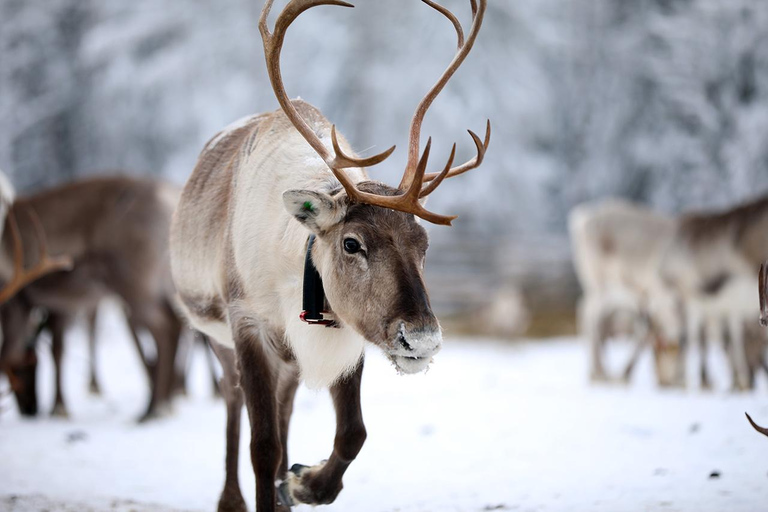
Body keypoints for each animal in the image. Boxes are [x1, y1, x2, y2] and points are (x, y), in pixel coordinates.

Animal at [0, 175, 184, 421]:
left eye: (31, 364)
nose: (30, 409)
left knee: (164, 327)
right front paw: (59, 406)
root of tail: (169, 196)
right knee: (174, 323)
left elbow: (34, 350)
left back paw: (154, 408)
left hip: (133, 281)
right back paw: (161, 403)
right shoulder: (58, 303)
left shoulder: (26, 300)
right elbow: (56, 347)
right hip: (162, 282)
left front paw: (58, 407)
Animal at [169, 1, 490, 510]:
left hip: (288, 360)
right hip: (214, 335)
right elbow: (262, 445)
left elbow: (353, 432)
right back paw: (232, 499)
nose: (421, 341)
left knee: (285, 407)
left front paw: (304, 481)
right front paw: (278, 485)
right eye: (351, 242)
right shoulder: (247, 323)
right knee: (232, 400)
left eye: (424, 243)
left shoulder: (347, 330)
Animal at [569, 198, 684, 387]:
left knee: (585, 310)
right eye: (662, 348)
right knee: (591, 314)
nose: (665, 382)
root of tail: (582, 217)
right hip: (600, 282)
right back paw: (600, 373)